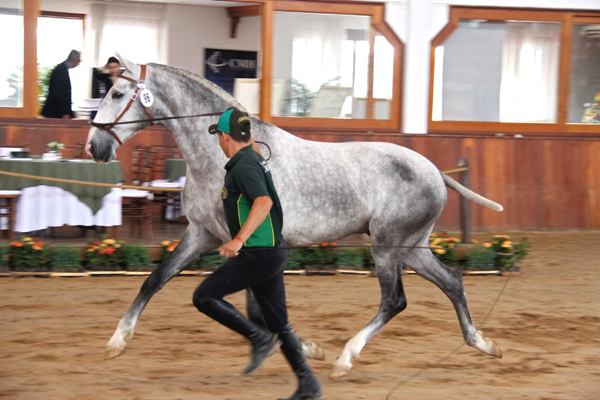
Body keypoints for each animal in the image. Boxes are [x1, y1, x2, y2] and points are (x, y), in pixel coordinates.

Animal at [86, 55, 504, 378]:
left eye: (117, 94)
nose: (94, 146)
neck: (221, 159)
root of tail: (435, 171)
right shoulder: (203, 234)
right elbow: (155, 280)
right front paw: (116, 341)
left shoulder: (252, 244)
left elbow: (260, 308)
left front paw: (305, 349)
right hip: (412, 247)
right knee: (452, 281)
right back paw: (483, 344)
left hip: (387, 248)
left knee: (394, 301)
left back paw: (345, 359)